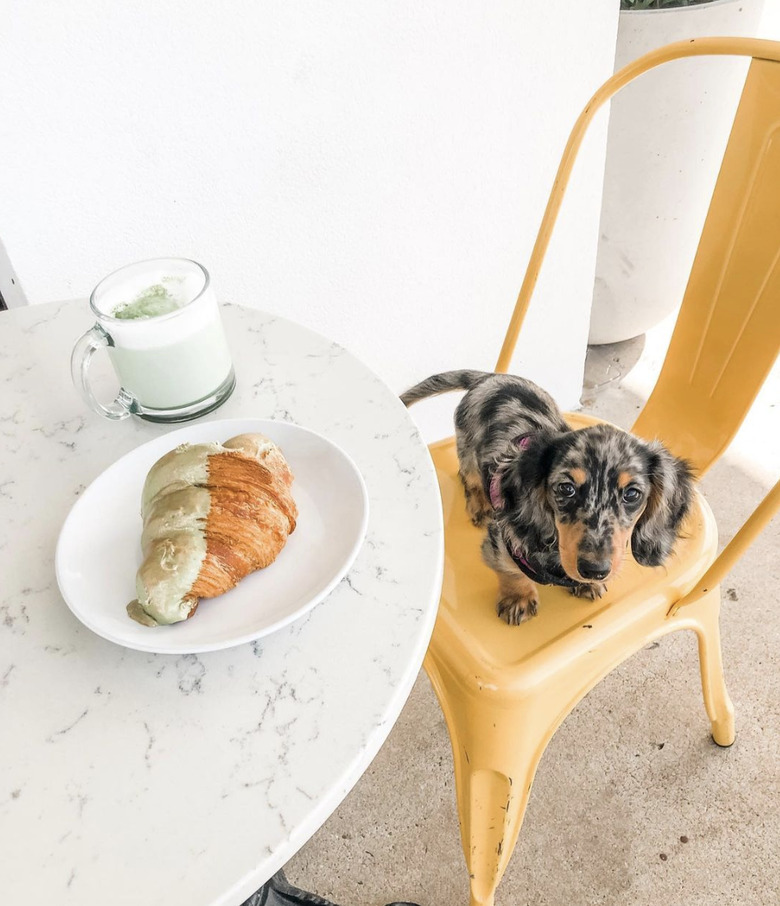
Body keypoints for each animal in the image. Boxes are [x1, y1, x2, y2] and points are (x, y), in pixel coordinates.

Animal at [402, 368, 696, 620]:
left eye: (632, 494)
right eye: (566, 488)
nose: (595, 570)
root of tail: (490, 377)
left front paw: (585, 584)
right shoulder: (501, 541)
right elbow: (509, 569)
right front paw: (518, 598)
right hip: (468, 451)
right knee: (470, 478)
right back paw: (479, 505)